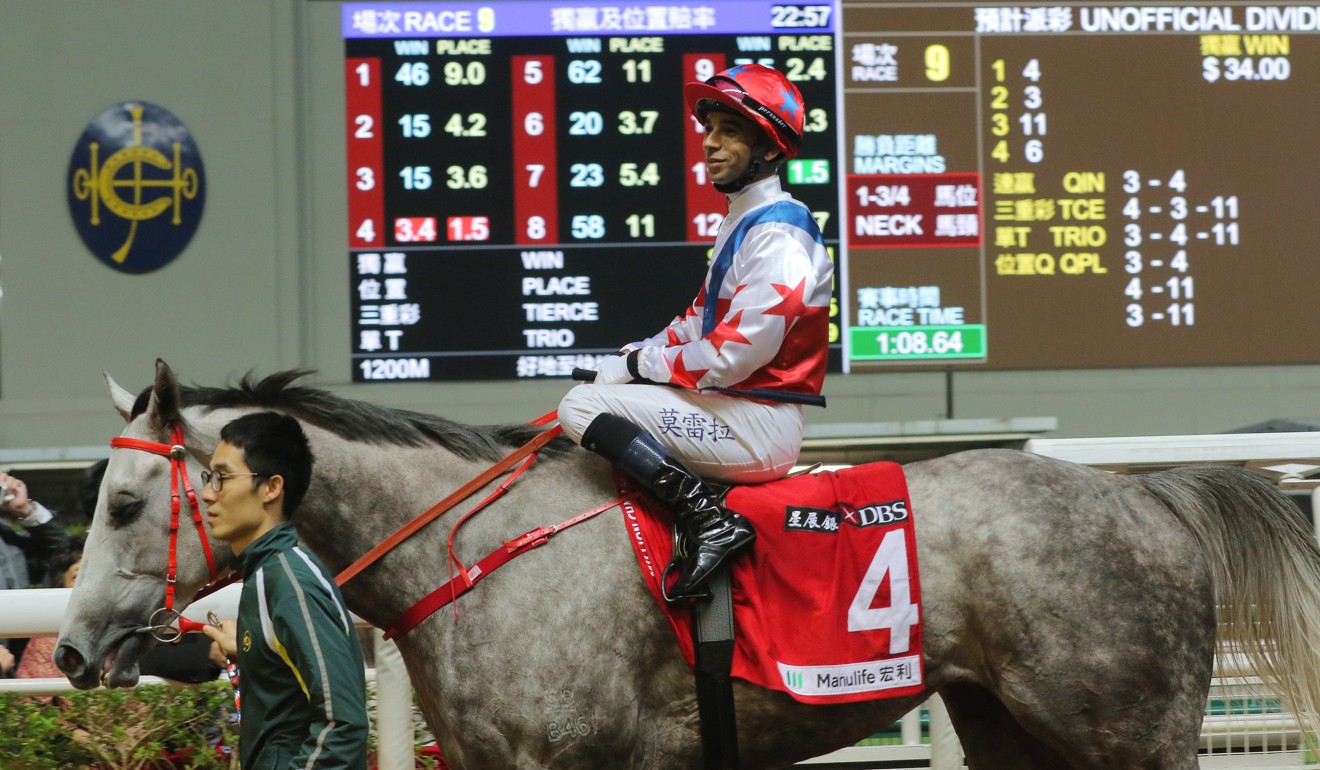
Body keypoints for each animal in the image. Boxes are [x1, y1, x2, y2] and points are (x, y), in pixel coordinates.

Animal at [56, 361, 1320, 770]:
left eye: (122, 501)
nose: (67, 650)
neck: (474, 557)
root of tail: (1148, 491)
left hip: (1134, 733)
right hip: (1018, 725)